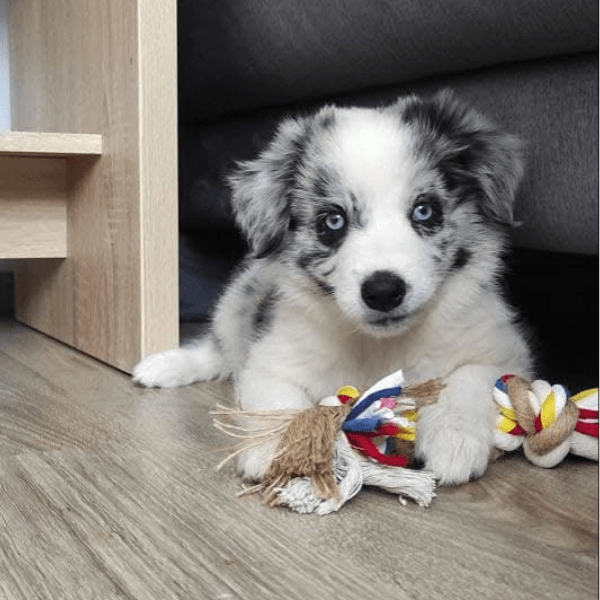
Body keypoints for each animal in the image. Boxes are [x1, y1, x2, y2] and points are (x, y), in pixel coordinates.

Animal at [134, 94, 532, 488]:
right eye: (333, 221)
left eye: (424, 210)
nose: (383, 291)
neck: (379, 345)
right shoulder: (271, 359)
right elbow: (276, 398)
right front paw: (275, 450)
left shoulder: (505, 351)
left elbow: (469, 378)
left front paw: (453, 440)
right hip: (238, 301)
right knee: (219, 351)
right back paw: (162, 366)